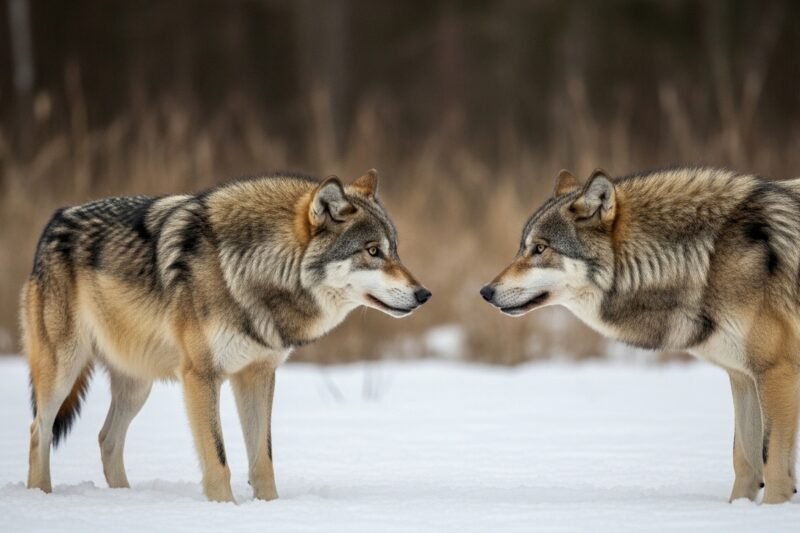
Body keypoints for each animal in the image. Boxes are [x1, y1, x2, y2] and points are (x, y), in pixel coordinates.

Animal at [22, 169, 431, 502]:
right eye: (373, 251)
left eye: (394, 250)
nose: (424, 294)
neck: (254, 270)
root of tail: (56, 219)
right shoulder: (201, 377)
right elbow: (218, 461)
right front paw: (225, 510)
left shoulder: (258, 375)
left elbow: (262, 460)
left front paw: (270, 509)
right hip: (64, 370)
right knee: (39, 430)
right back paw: (41, 496)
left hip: (138, 385)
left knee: (107, 439)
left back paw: (125, 499)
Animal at [481, 166, 800, 504]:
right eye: (522, 247)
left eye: (540, 248)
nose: (485, 292)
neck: (709, 257)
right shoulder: (742, 377)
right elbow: (745, 459)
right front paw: (738, 508)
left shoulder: (777, 372)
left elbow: (772, 464)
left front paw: (771, 509)